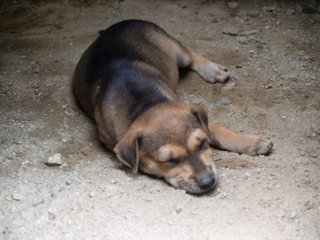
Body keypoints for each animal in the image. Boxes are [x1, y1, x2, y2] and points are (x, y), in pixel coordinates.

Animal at [73, 19, 272, 195]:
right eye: (170, 160)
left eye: (202, 144)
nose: (208, 182)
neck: (144, 106)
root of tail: (113, 27)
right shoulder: (107, 138)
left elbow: (221, 131)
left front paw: (254, 143)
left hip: (176, 50)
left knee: (192, 54)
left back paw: (213, 71)